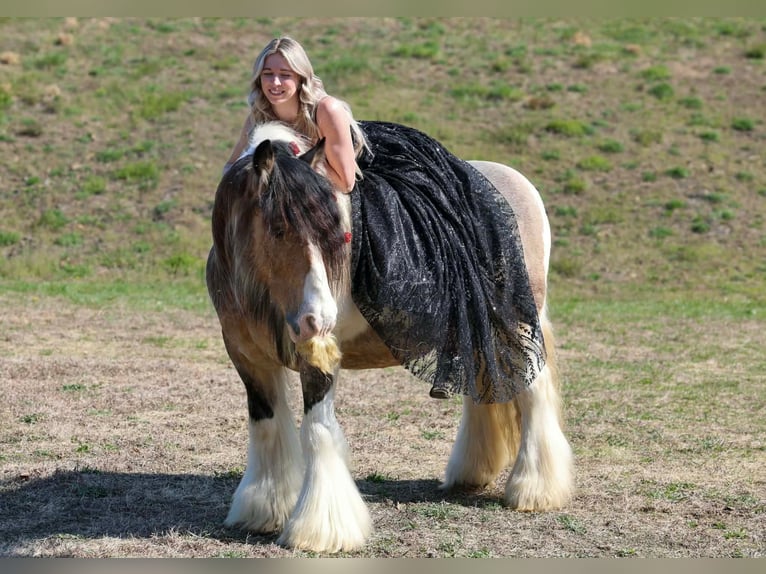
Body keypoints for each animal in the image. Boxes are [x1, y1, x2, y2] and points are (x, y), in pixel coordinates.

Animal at [205, 121, 574, 553]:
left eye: (337, 235)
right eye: (277, 229)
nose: (319, 319)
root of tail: (520, 185)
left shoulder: (318, 358)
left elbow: (317, 431)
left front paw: (320, 530)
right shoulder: (247, 357)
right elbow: (266, 426)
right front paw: (264, 510)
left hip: (517, 326)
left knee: (535, 397)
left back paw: (535, 489)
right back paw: (471, 473)